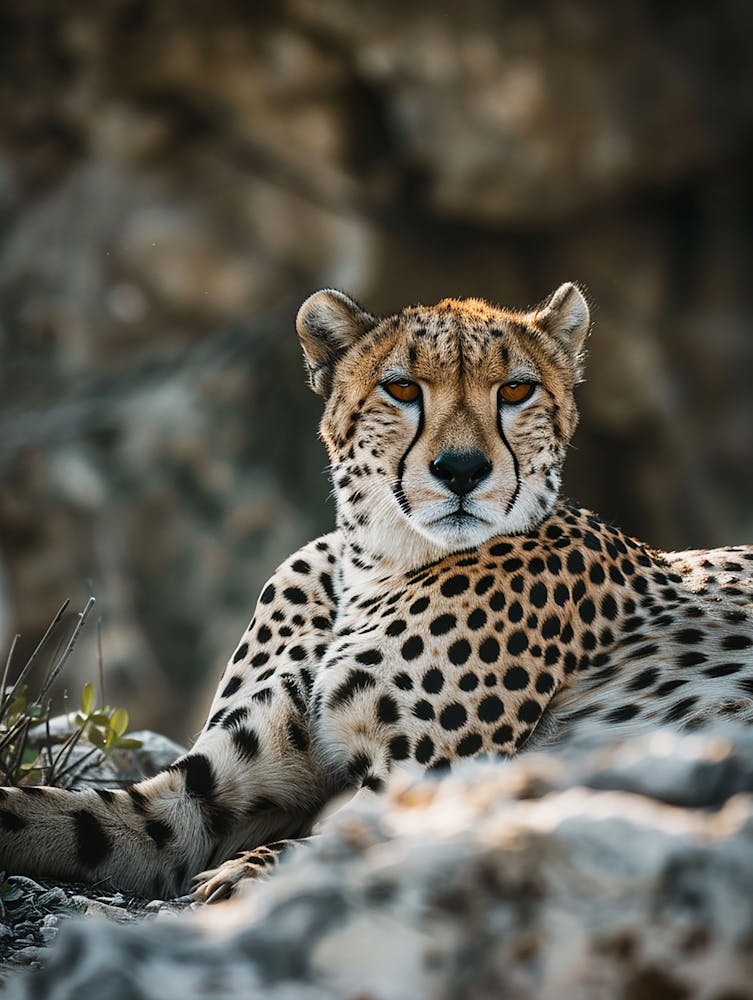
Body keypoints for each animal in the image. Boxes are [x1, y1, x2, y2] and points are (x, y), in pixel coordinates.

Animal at [0, 282, 751, 904]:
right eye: (402, 389)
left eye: (515, 392)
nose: (461, 470)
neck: (374, 567)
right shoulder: (194, 797)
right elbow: (50, 810)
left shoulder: (426, 783)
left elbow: (320, 844)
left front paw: (245, 876)